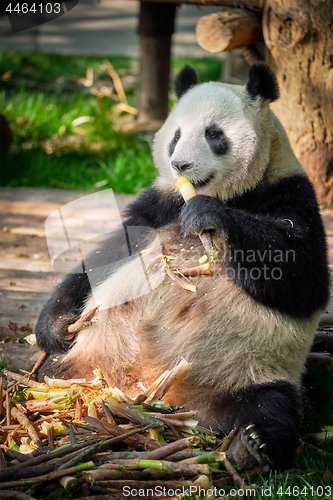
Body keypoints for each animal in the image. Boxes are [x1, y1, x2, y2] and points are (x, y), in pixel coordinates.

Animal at [37, 63, 330, 472]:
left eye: (214, 135)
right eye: (176, 135)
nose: (180, 164)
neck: (231, 194)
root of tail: (153, 394)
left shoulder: (292, 194)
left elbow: (300, 276)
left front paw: (210, 217)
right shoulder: (159, 204)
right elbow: (105, 257)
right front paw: (56, 325)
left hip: (249, 369)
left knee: (271, 406)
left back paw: (253, 445)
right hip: (80, 365)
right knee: (47, 373)